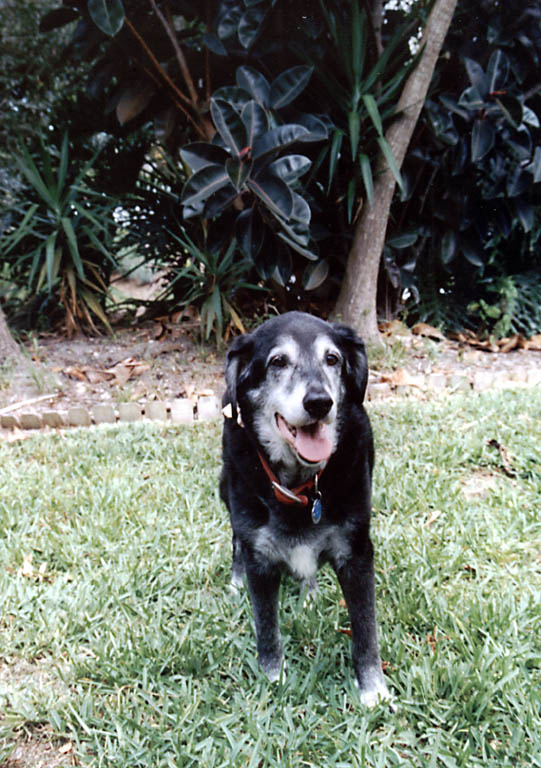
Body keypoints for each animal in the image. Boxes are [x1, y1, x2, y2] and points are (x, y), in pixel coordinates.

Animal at [219, 312, 392, 708]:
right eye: (278, 362)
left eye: (332, 359)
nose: (319, 402)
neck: (302, 486)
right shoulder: (260, 558)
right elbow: (266, 627)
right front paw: (272, 679)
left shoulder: (356, 552)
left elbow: (366, 627)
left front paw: (372, 689)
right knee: (235, 539)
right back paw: (236, 582)